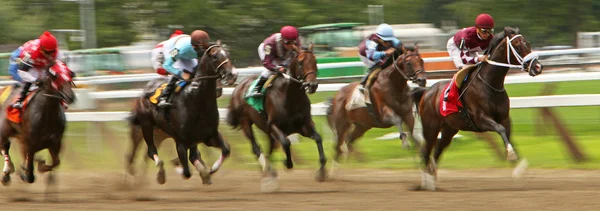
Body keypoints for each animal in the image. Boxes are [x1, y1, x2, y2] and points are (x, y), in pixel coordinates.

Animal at [128, 42, 237, 185]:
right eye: (215, 56)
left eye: (227, 53)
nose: (233, 75)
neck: (196, 99)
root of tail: (143, 92)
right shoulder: (181, 142)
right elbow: (186, 172)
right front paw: (181, 166)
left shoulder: (209, 136)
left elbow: (226, 150)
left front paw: (210, 171)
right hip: (145, 127)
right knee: (149, 152)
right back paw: (155, 175)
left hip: (160, 134)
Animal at [225, 43, 322, 192]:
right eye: (300, 63)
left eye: (315, 61)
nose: (312, 85)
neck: (290, 97)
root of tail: (239, 86)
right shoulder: (274, 125)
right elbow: (286, 143)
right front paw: (287, 162)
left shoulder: (304, 126)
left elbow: (318, 139)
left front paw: (322, 172)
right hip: (246, 122)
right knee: (256, 148)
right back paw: (267, 173)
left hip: (267, 132)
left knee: (269, 149)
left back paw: (270, 175)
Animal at [412, 27, 544, 190]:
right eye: (518, 46)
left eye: (529, 44)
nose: (537, 67)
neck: (490, 84)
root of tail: (426, 92)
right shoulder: (481, 119)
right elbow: (500, 129)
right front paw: (512, 155)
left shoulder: (505, 118)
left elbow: (508, 135)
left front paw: (520, 166)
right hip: (431, 127)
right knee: (426, 151)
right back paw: (426, 184)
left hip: (449, 129)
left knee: (437, 149)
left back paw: (432, 178)